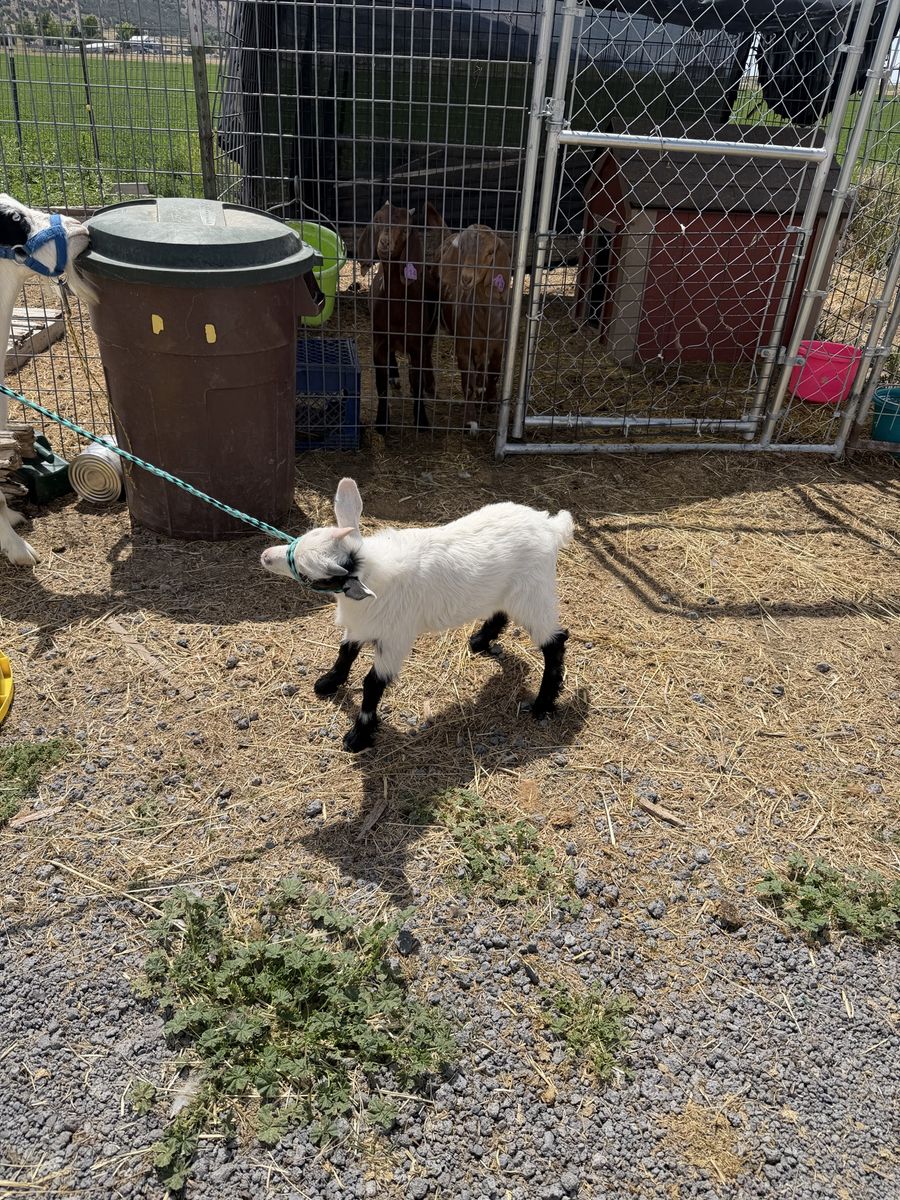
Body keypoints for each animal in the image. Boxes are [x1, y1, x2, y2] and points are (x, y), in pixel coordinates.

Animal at [260, 477, 573, 752]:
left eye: (306, 573)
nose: (265, 556)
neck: (371, 573)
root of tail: (550, 525)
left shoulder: (394, 639)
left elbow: (372, 684)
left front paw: (359, 736)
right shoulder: (361, 625)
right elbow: (345, 652)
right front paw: (328, 682)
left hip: (534, 595)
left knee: (555, 642)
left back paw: (543, 704)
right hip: (507, 592)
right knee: (501, 613)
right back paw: (480, 641)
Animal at [356, 202, 446, 434]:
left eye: (406, 230)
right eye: (378, 220)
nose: (385, 243)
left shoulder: (416, 343)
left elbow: (417, 380)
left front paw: (422, 421)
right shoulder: (379, 340)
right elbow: (380, 384)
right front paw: (382, 423)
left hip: (431, 326)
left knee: (428, 352)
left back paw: (430, 383)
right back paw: (394, 374)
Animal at [438, 224, 511, 433]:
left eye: (490, 252)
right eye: (462, 249)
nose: (466, 278)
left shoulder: (498, 346)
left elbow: (494, 373)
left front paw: (491, 402)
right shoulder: (463, 347)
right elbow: (468, 382)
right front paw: (470, 421)